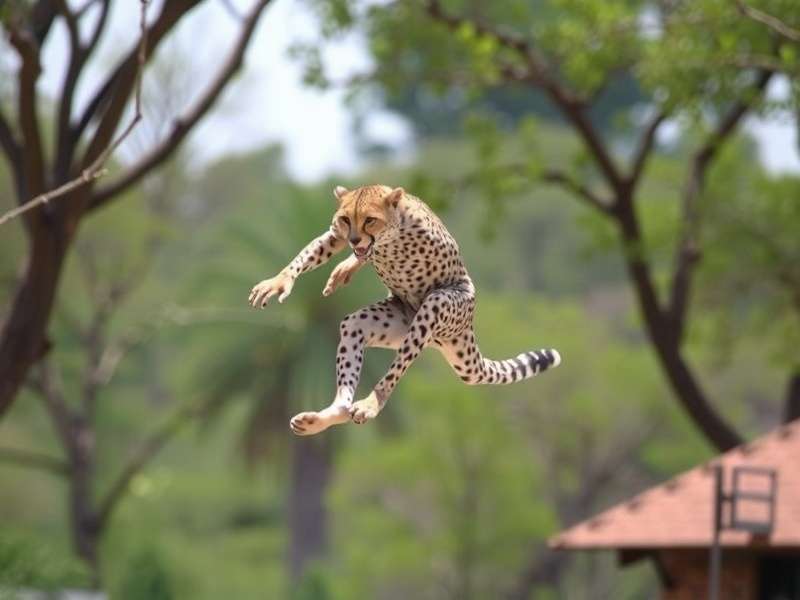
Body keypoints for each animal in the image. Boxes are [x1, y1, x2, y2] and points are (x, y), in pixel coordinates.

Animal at [248, 184, 561, 435]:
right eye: (346, 219)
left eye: (370, 220)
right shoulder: (339, 235)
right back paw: (327, 416)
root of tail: (463, 331)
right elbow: (319, 248)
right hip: (375, 324)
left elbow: (372, 253)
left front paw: (349, 264)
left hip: (436, 309)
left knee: (396, 368)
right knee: (352, 336)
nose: (354, 239)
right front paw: (279, 281)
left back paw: (370, 405)